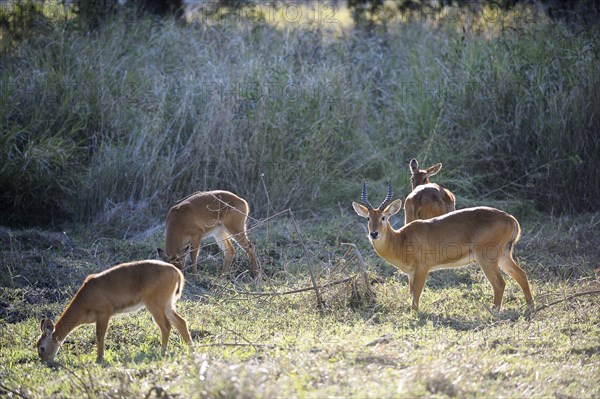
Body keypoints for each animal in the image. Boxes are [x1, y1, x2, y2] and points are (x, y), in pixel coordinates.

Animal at [37, 260, 192, 364]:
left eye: (42, 348)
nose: (45, 362)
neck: (84, 302)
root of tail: (177, 272)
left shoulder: (104, 313)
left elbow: (100, 335)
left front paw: (99, 358)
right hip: (167, 304)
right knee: (181, 322)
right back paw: (190, 347)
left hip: (155, 304)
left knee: (166, 326)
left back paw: (162, 351)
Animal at [352, 181, 536, 312]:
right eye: (368, 218)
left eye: (384, 217)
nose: (374, 234)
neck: (401, 240)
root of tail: (511, 219)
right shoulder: (410, 273)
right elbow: (412, 293)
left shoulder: (422, 269)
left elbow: (416, 294)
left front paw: (414, 314)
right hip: (504, 256)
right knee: (521, 275)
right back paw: (530, 307)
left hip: (487, 259)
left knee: (499, 283)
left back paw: (493, 311)